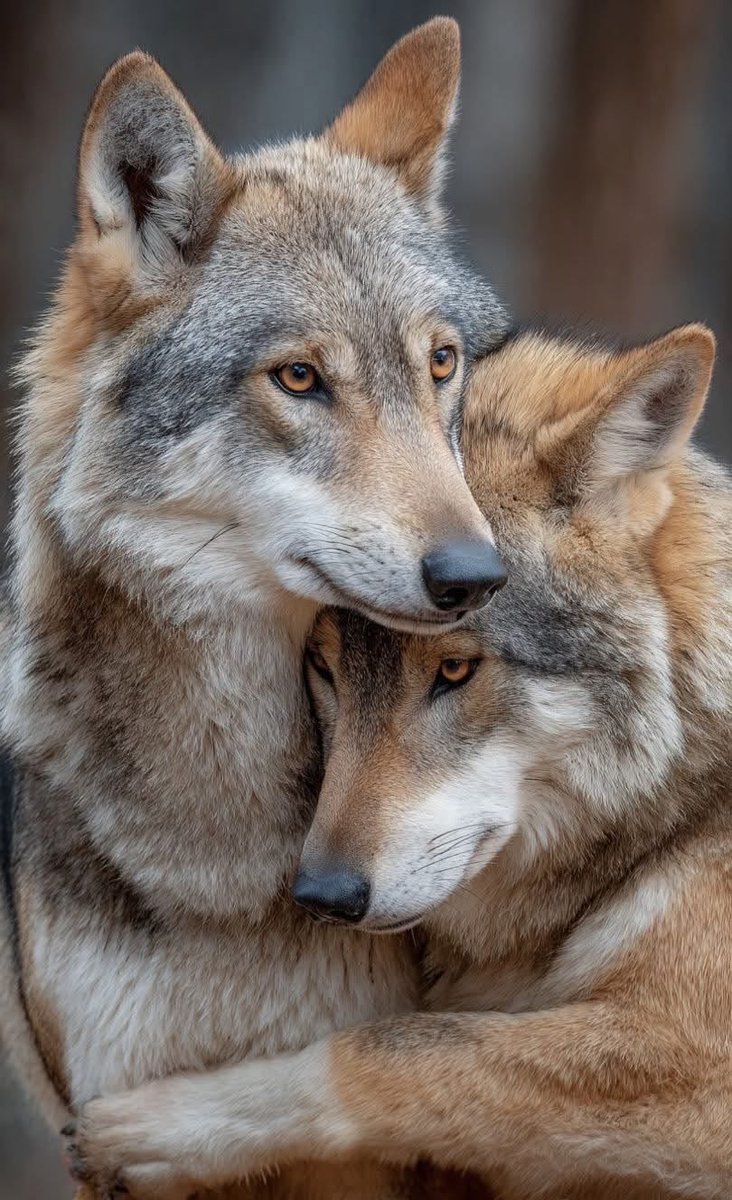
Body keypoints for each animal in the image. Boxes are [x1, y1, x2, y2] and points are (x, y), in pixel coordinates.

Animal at [71, 323, 732, 1199]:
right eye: (324, 667)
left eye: (454, 668)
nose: (323, 895)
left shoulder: (697, 1064)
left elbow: (395, 1048)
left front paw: (156, 1125)